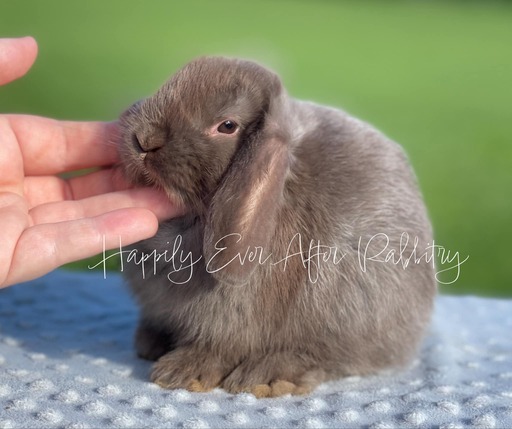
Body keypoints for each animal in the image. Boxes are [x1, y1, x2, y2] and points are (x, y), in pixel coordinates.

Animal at [118, 56, 438, 398]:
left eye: (227, 126)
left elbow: (219, 347)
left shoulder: (231, 318)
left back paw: (264, 377)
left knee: (327, 357)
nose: (144, 140)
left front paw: (182, 372)